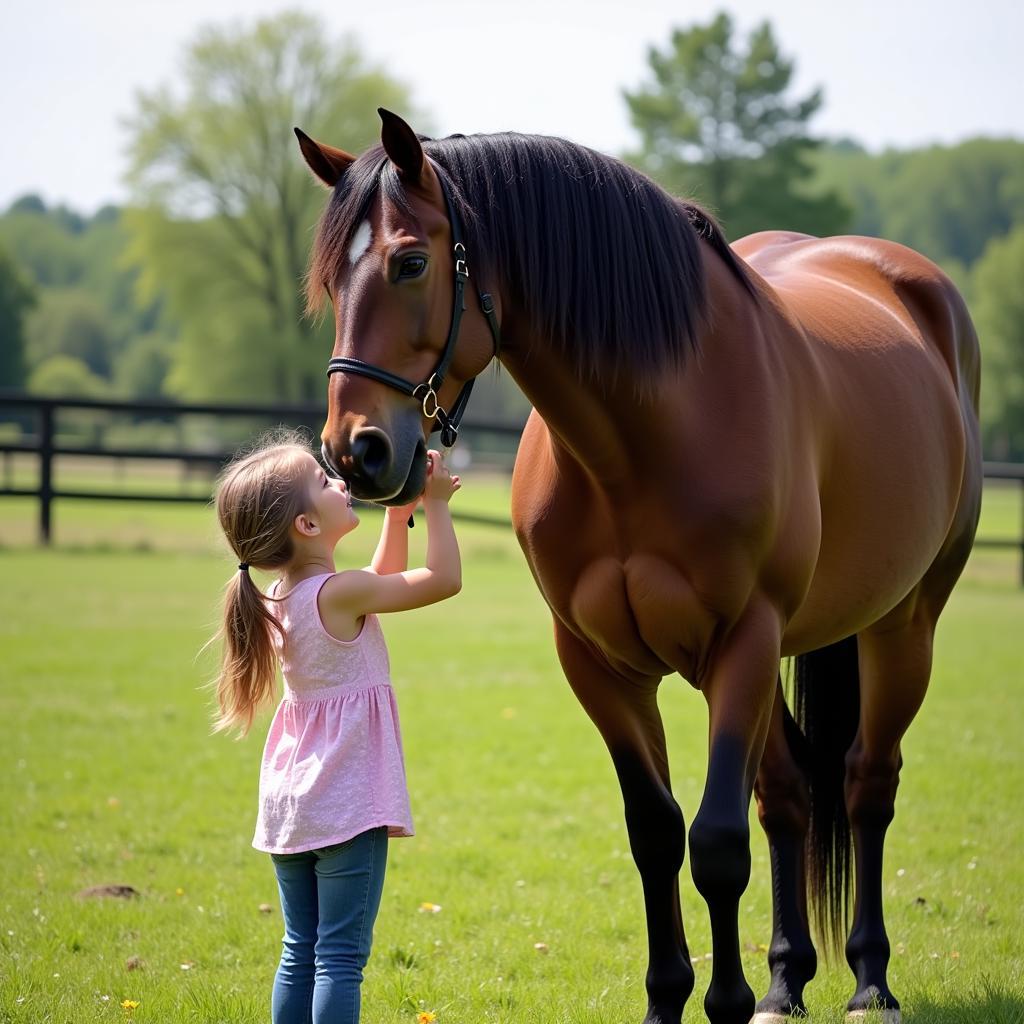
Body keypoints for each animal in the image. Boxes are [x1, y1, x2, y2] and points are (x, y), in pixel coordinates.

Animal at [292, 112, 978, 1024]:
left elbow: (717, 841)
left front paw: (725, 1000)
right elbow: (655, 831)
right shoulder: (599, 663)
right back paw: (787, 980)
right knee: (790, 796)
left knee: (868, 782)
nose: (355, 452)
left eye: (410, 262)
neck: (646, 433)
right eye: (331, 281)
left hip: (904, 627)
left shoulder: (743, 644)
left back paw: (869, 981)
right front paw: (672, 998)